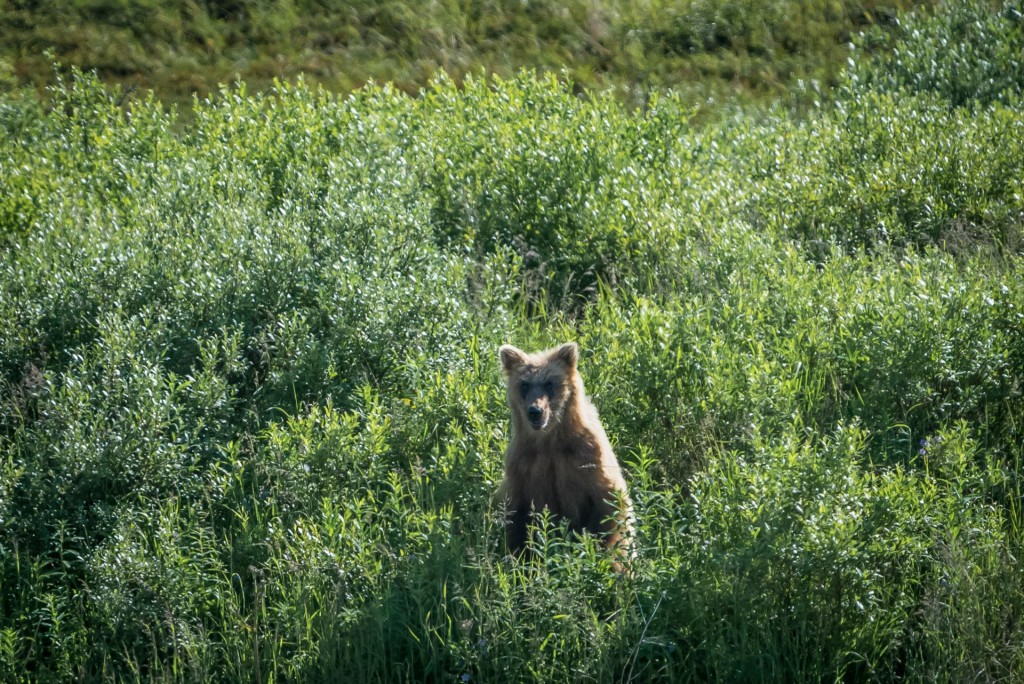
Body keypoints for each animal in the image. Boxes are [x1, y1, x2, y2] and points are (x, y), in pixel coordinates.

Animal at [495, 342, 630, 565]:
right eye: (524, 384)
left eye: (549, 383)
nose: (535, 411)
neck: (550, 440)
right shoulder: (522, 465)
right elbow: (517, 514)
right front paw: (520, 557)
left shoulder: (588, 455)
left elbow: (609, 500)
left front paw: (597, 553)